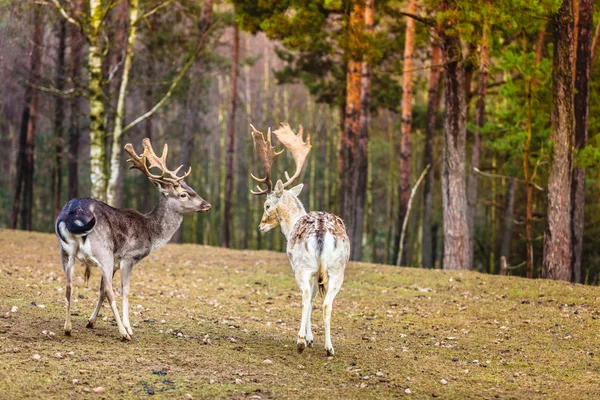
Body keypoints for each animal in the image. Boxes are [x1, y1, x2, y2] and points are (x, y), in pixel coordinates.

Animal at [55, 138, 211, 340]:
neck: (151, 234)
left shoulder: (114, 264)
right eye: (183, 194)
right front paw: (128, 327)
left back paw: (68, 328)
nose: (206, 205)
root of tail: (69, 214)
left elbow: (100, 291)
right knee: (109, 290)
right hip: (103, 250)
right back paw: (123, 333)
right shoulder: (128, 257)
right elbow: (124, 290)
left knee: (69, 285)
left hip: (66, 251)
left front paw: (91, 321)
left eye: (192, 189)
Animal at [250, 123, 352, 354]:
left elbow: (309, 297)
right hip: (337, 269)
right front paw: (314, 339)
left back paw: (300, 341)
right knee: (327, 303)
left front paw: (308, 338)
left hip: (302, 266)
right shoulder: (319, 273)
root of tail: (321, 230)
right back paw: (329, 348)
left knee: (305, 296)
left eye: (266, 205)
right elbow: (316, 297)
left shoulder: (303, 269)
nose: (260, 226)